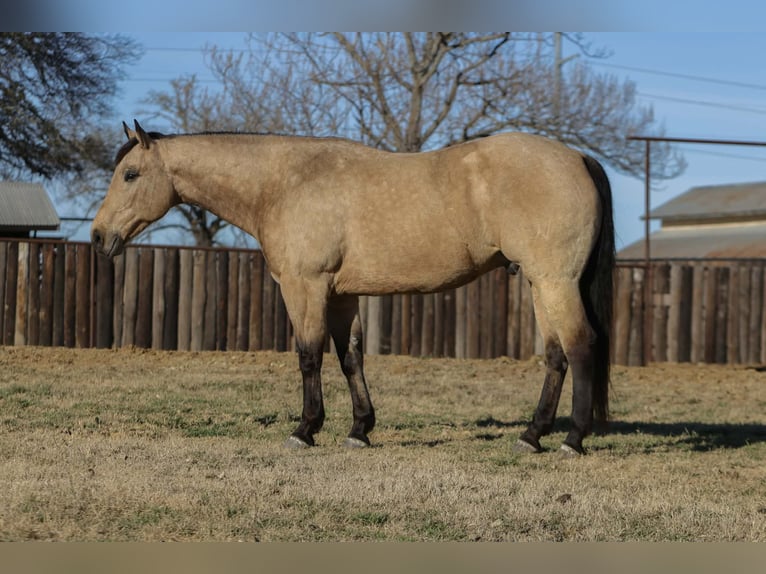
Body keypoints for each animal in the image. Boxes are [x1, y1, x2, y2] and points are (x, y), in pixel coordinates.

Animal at [92, 120, 615, 456]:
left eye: (130, 175)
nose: (99, 237)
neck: (283, 183)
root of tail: (578, 157)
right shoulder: (342, 295)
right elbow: (351, 358)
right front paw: (360, 429)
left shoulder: (305, 287)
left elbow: (309, 356)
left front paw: (305, 428)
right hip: (540, 282)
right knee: (556, 355)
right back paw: (532, 435)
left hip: (555, 281)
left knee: (581, 346)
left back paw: (572, 439)